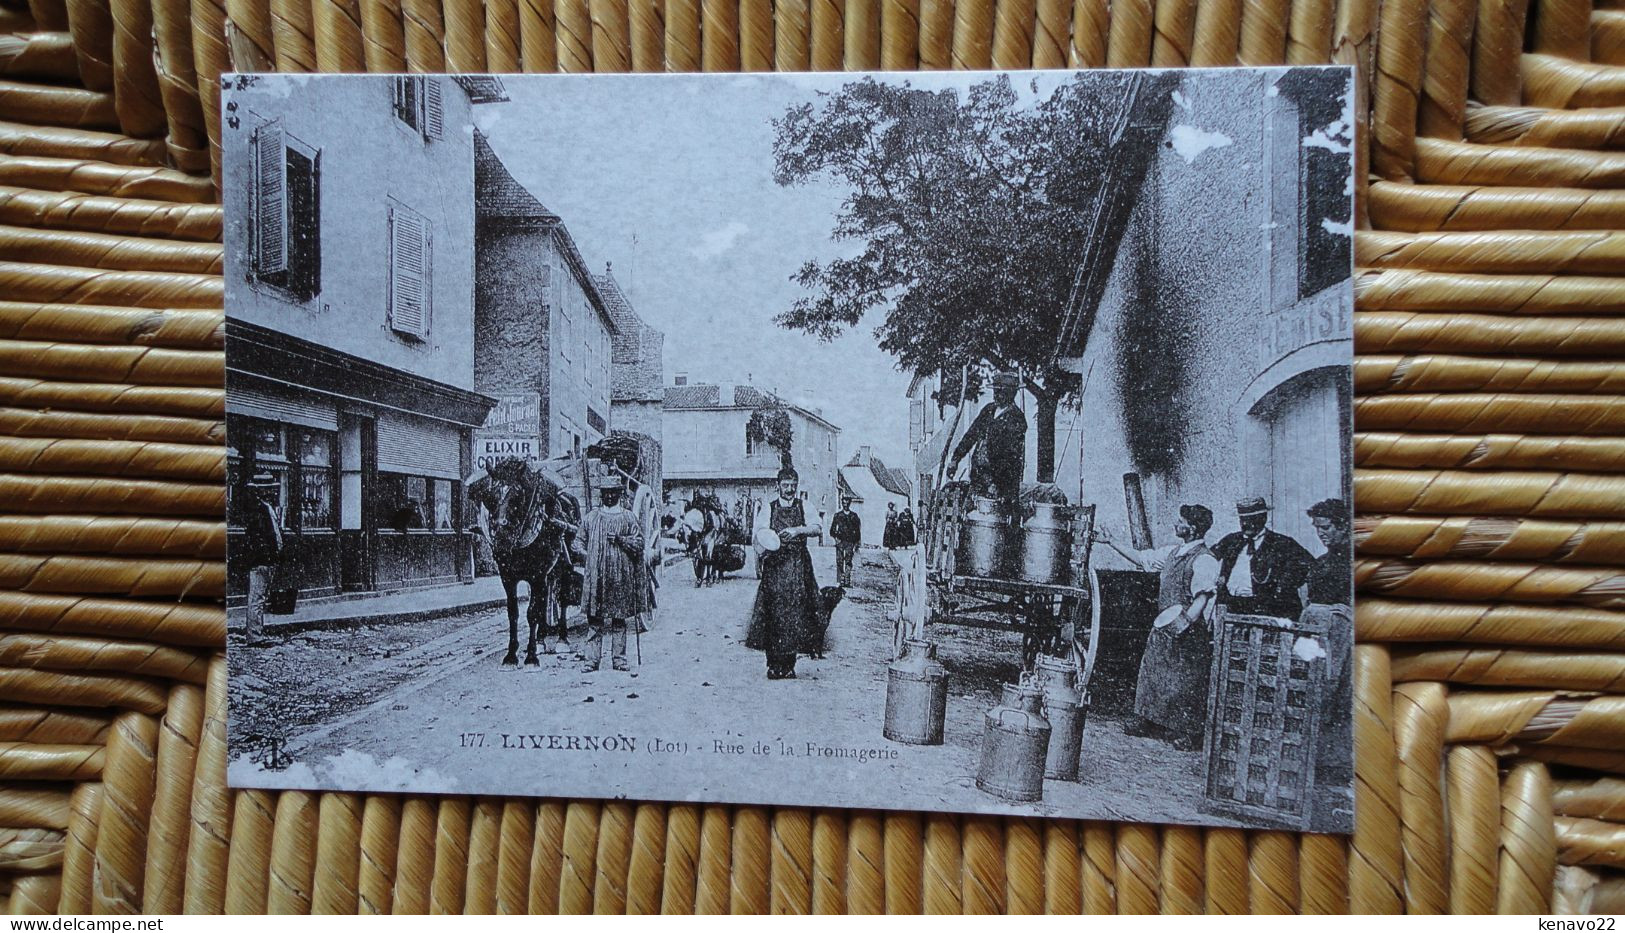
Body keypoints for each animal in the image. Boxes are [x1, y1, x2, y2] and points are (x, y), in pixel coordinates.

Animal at [468, 458, 581, 666]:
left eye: (518, 495)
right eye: (489, 496)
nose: (502, 541)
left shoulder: (537, 575)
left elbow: (532, 612)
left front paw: (531, 657)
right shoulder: (508, 576)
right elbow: (514, 613)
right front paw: (512, 655)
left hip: (563, 567)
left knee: (562, 599)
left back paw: (562, 639)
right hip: (549, 573)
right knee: (545, 601)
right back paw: (542, 639)